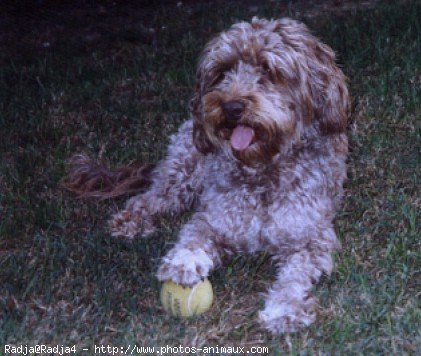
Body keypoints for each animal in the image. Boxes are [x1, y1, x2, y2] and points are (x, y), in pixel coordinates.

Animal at [65, 16, 348, 334]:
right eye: (223, 71)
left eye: (268, 70)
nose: (232, 106)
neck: (262, 169)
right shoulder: (214, 218)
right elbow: (194, 235)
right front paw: (183, 263)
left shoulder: (310, 238)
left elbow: (295, 277)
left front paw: (283, 309)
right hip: (181, 176)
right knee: (147, 199)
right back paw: (130, 222)